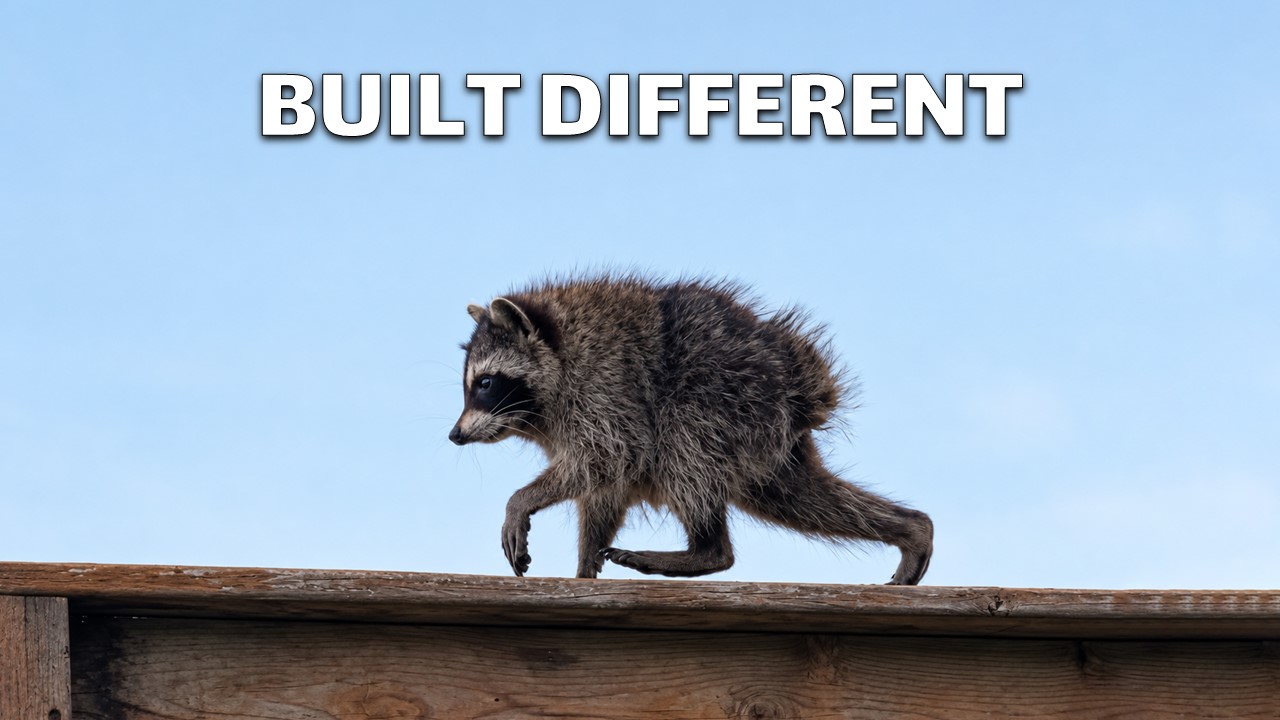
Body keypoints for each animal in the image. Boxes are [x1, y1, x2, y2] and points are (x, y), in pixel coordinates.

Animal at [450, 276, 933, 585]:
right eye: (470, 385)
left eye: (486, 384)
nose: (455, 435)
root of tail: (805, 382)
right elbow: (604, 489)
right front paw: (585, 565)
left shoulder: (608, 389)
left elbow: (608, 458)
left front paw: (521, 500)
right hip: (768, 436)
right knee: (796, 496)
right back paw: (912, 528)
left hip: (722, 396)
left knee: (685, 452)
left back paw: (706, 550)